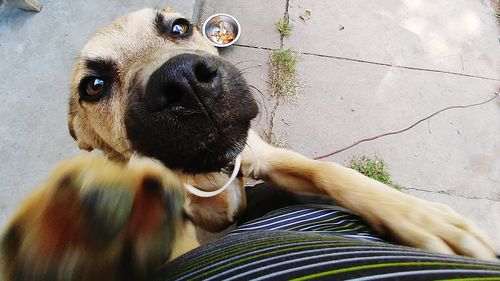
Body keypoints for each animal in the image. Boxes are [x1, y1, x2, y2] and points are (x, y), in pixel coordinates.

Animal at [1, 6, 498, 280]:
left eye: (179, 28)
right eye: (94, 86)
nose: (184, 82)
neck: (206, 172)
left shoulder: (261, 156)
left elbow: (331, 171)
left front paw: (422, 217)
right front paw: (91, 234)